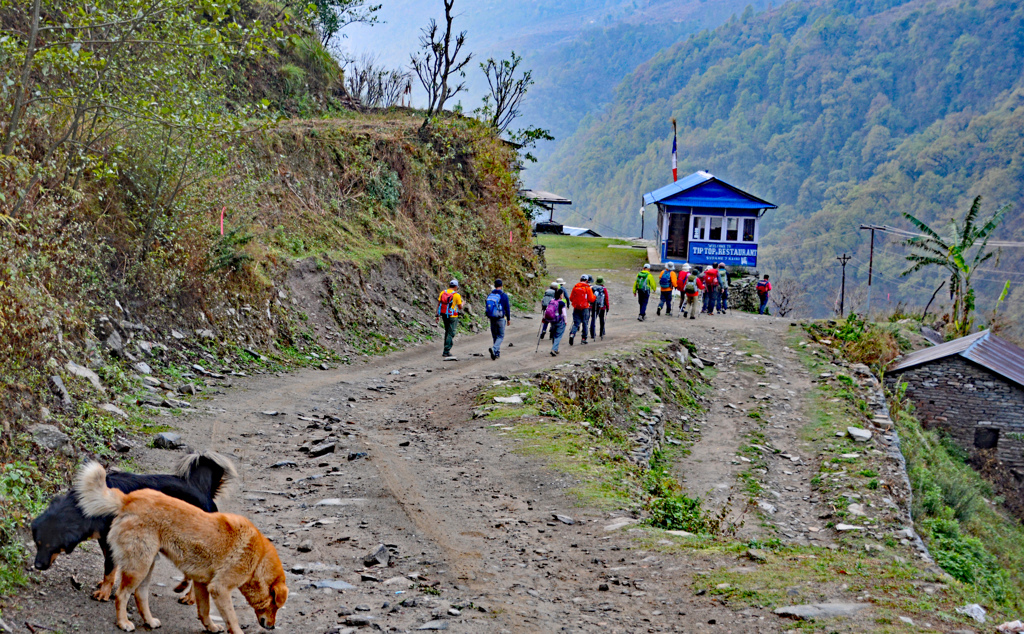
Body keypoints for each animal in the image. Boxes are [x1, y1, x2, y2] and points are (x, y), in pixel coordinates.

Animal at [32, 450, 235, 602]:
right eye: (37, 544)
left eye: (52, 545)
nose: (37, 566)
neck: (82, 506)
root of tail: (203, 491)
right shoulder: (105, 540)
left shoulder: (112, 541)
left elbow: (109, 568)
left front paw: (104, 593)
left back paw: (191, 597)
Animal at [76, 460, 288, 634]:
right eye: (275, 606)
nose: (272, 627)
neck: (258, 559)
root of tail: (128, 499)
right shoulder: (220, 589)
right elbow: (233, 620)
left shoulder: (202, 584)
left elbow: (204, 610)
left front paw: (211, 627)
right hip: (139, 567)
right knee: (121, 594)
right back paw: (123, 623)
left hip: (146, 565)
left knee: (139, 595)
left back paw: (149, 621)